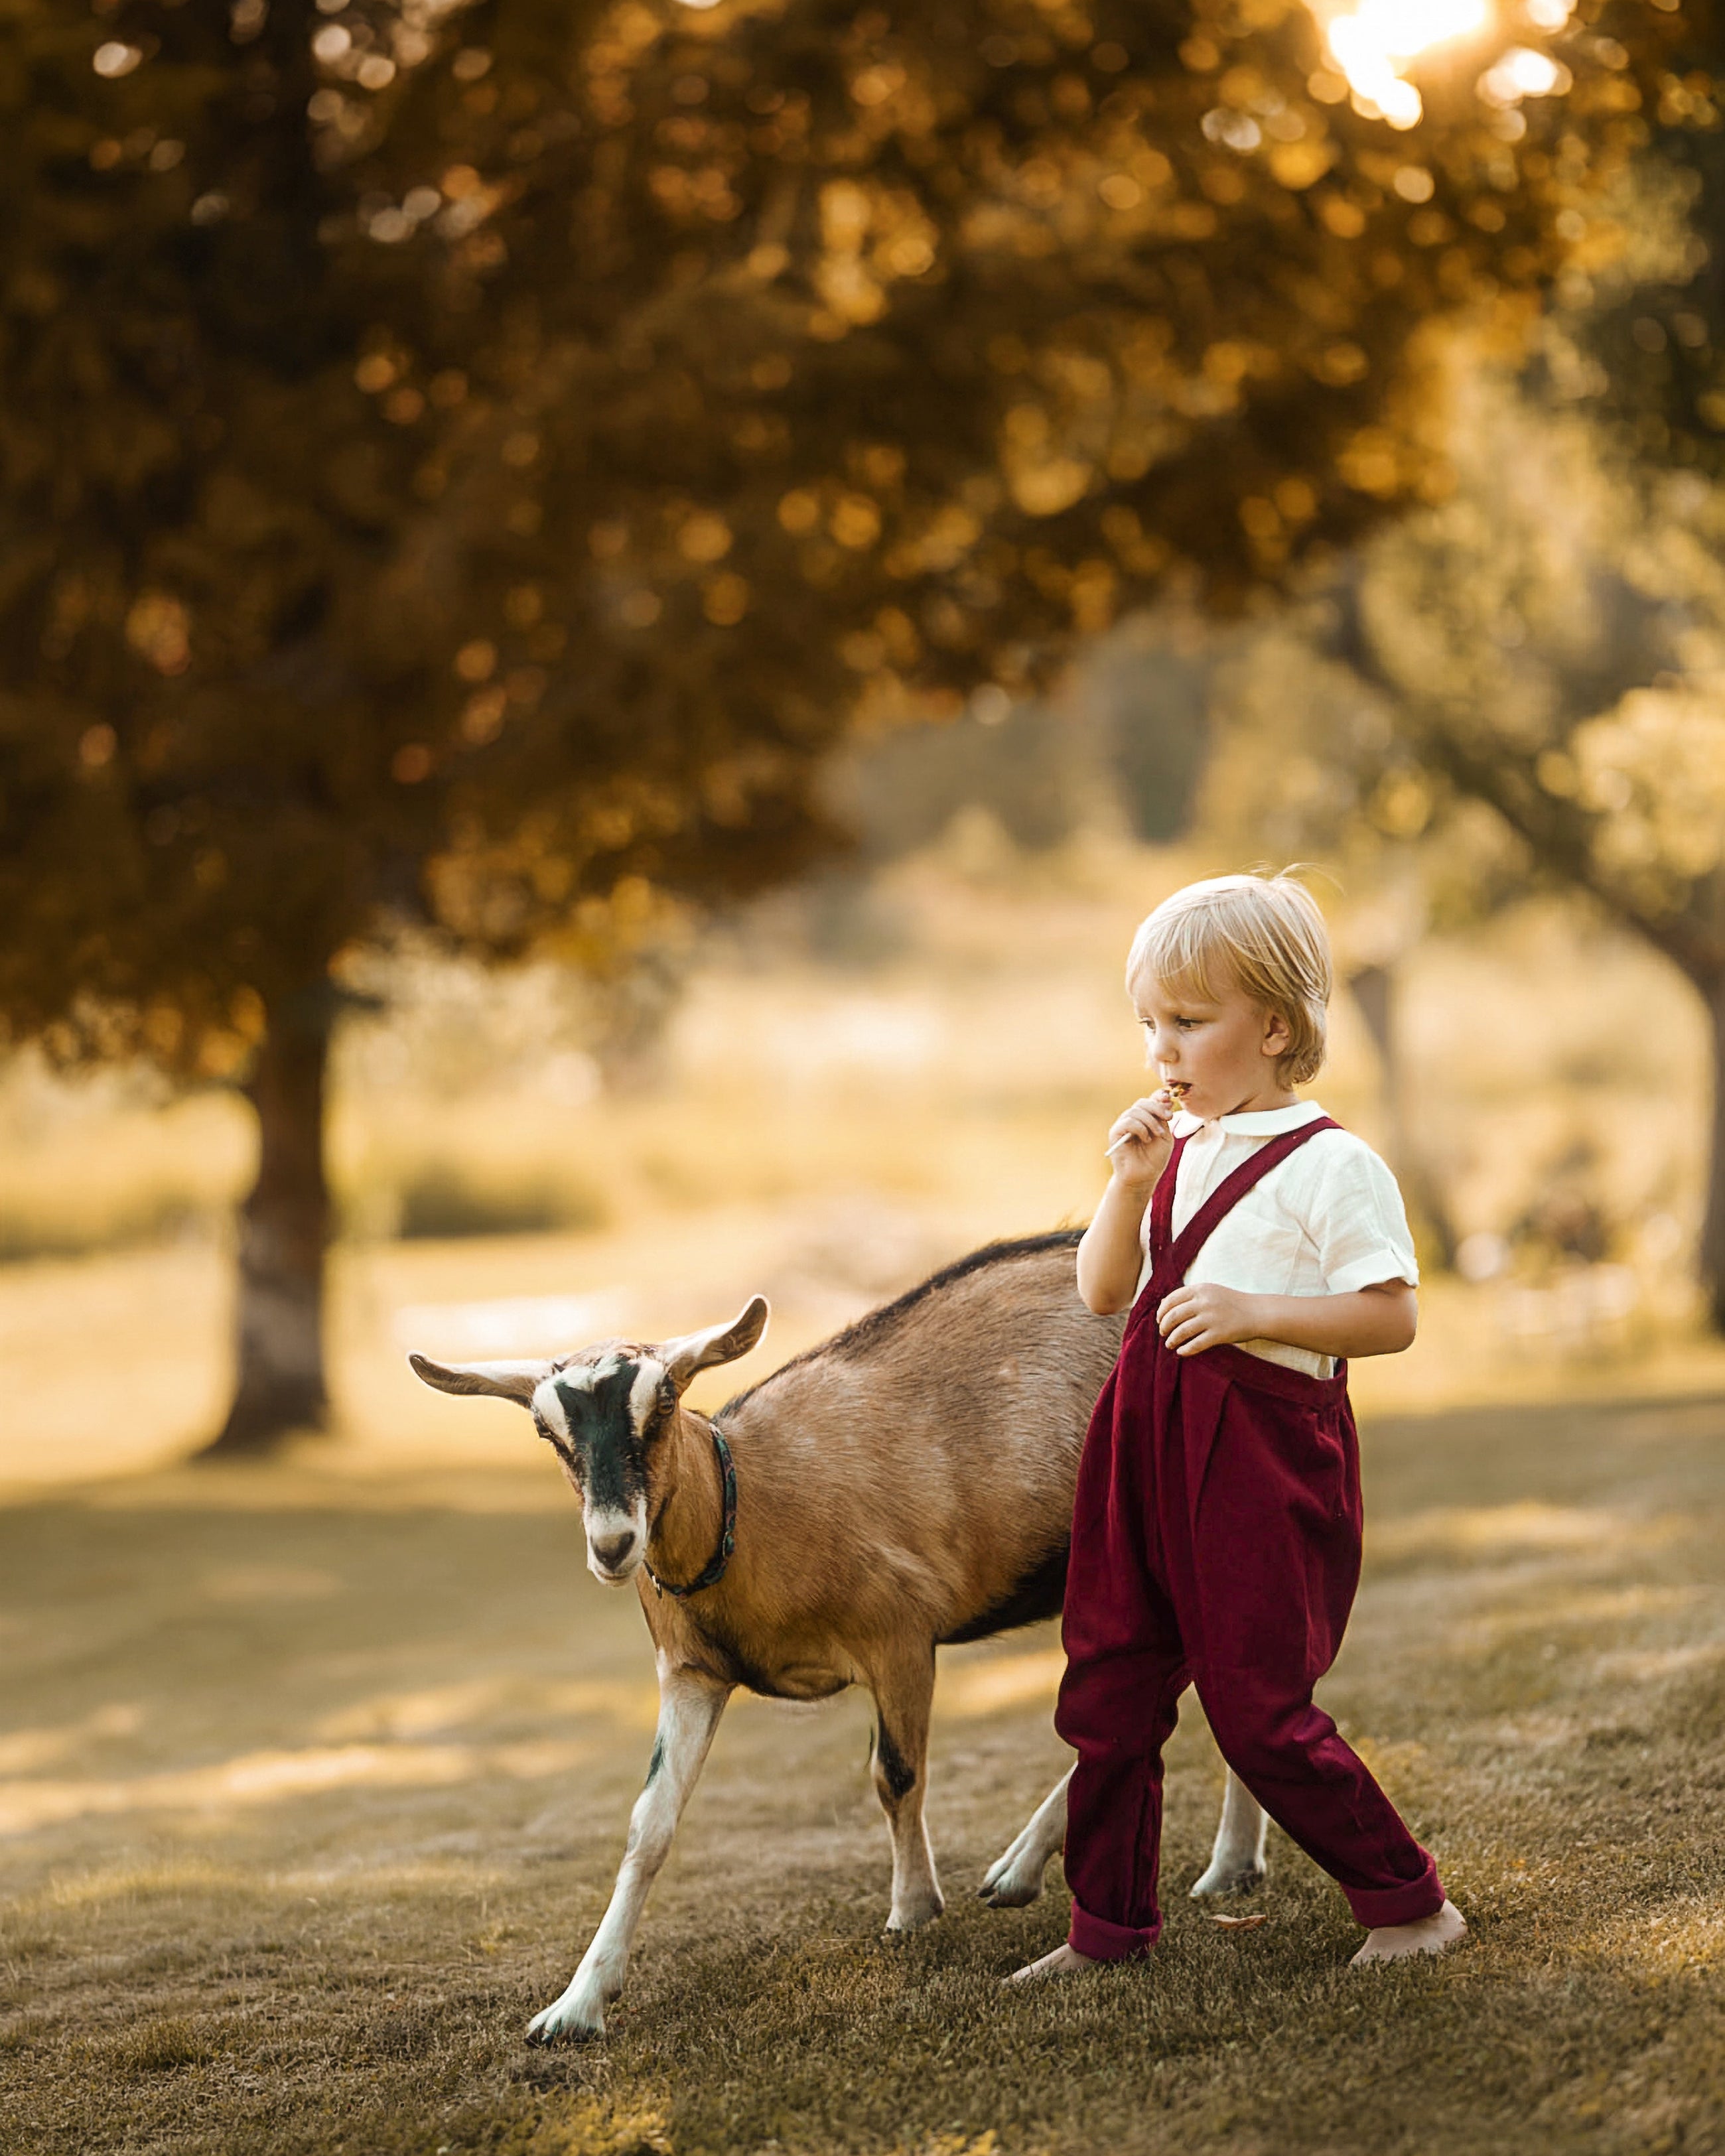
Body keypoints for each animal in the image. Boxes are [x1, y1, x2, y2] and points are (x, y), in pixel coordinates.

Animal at [410, 1231, 1269, 2041]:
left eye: (662, 1404)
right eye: (547, 1430)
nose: (614, 1544)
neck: (749, 1503)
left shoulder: (900, 1634)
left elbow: (894, 1774)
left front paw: (913, 1908)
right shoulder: (690, 1671)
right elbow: (647, 1824)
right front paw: (576, 2005)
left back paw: (1052, 1868)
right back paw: (1214, 1867)